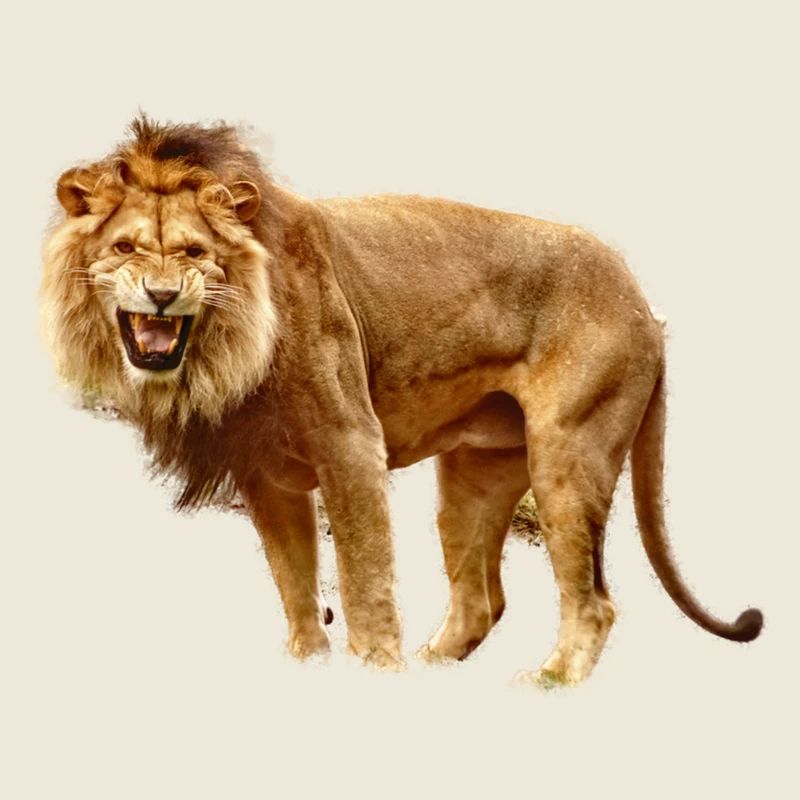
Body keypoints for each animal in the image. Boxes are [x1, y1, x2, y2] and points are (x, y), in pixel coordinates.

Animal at [41, 117, 762, 686]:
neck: (224, 351)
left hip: (569, 455)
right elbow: (295, 583)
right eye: (124, 248)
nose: (162, 296)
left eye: (195, 252)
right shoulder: (266, 476)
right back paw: (433, 671)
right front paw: (310, 665)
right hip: (474, 476)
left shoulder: (350, 445)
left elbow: (364, 580)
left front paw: (374, 669)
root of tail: (645, 307)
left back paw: (546, 681)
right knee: (480, 602)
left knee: (591, 602)